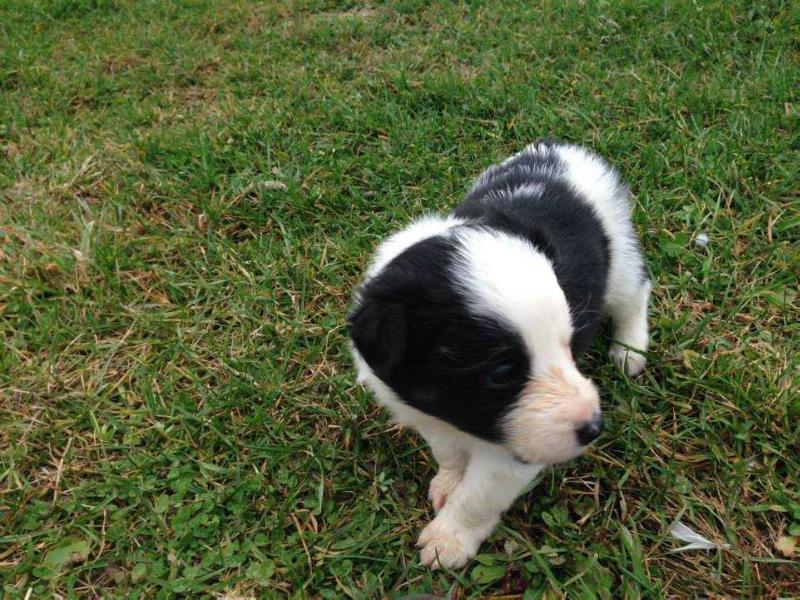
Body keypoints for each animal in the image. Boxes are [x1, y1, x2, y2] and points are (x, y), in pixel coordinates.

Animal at [348, 139, 648, 568]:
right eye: (501, 373)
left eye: (567, 343)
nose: (594, 427)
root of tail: (565, 149)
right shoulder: (429, 414)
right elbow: (448, 451)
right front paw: (451, 480)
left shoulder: (514, 449)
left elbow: (480, 495)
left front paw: (449, 538)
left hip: (619, 255)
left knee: (635, 293)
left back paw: (630, 348)